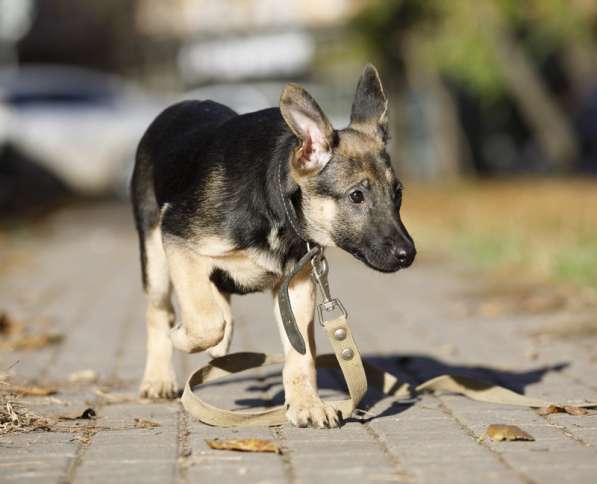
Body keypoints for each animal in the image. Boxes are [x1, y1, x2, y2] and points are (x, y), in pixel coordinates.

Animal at [130, 63, 414, 428]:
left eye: (398, 194)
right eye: (356, 196)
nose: (409, 255)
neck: (275, 204)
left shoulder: (297, 283)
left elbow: (301, 355)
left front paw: (306, 404)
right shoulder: (177, 236)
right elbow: (205, 320)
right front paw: (181, 336)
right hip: (155, 254)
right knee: (160, 311)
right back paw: (158, 377)